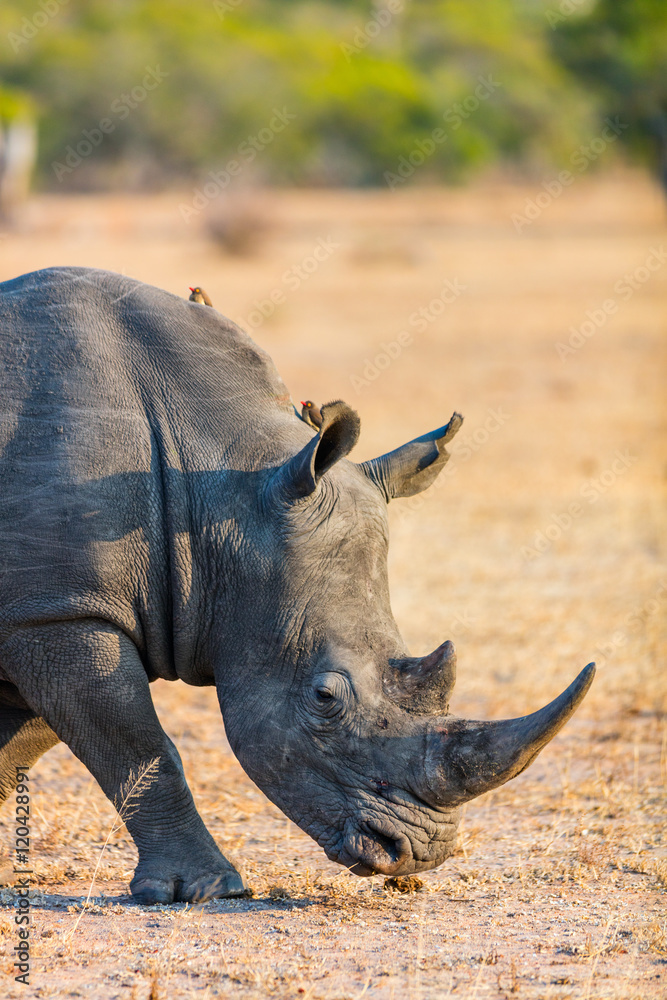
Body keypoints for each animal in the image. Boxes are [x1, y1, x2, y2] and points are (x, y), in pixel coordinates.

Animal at [0, 267, 594, 904]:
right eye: (324, 698)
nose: (416, 854)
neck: (214, 494)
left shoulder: (48, 607)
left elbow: (21, 742)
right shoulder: (59, 610)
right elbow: (137, 746)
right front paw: (207, 890)